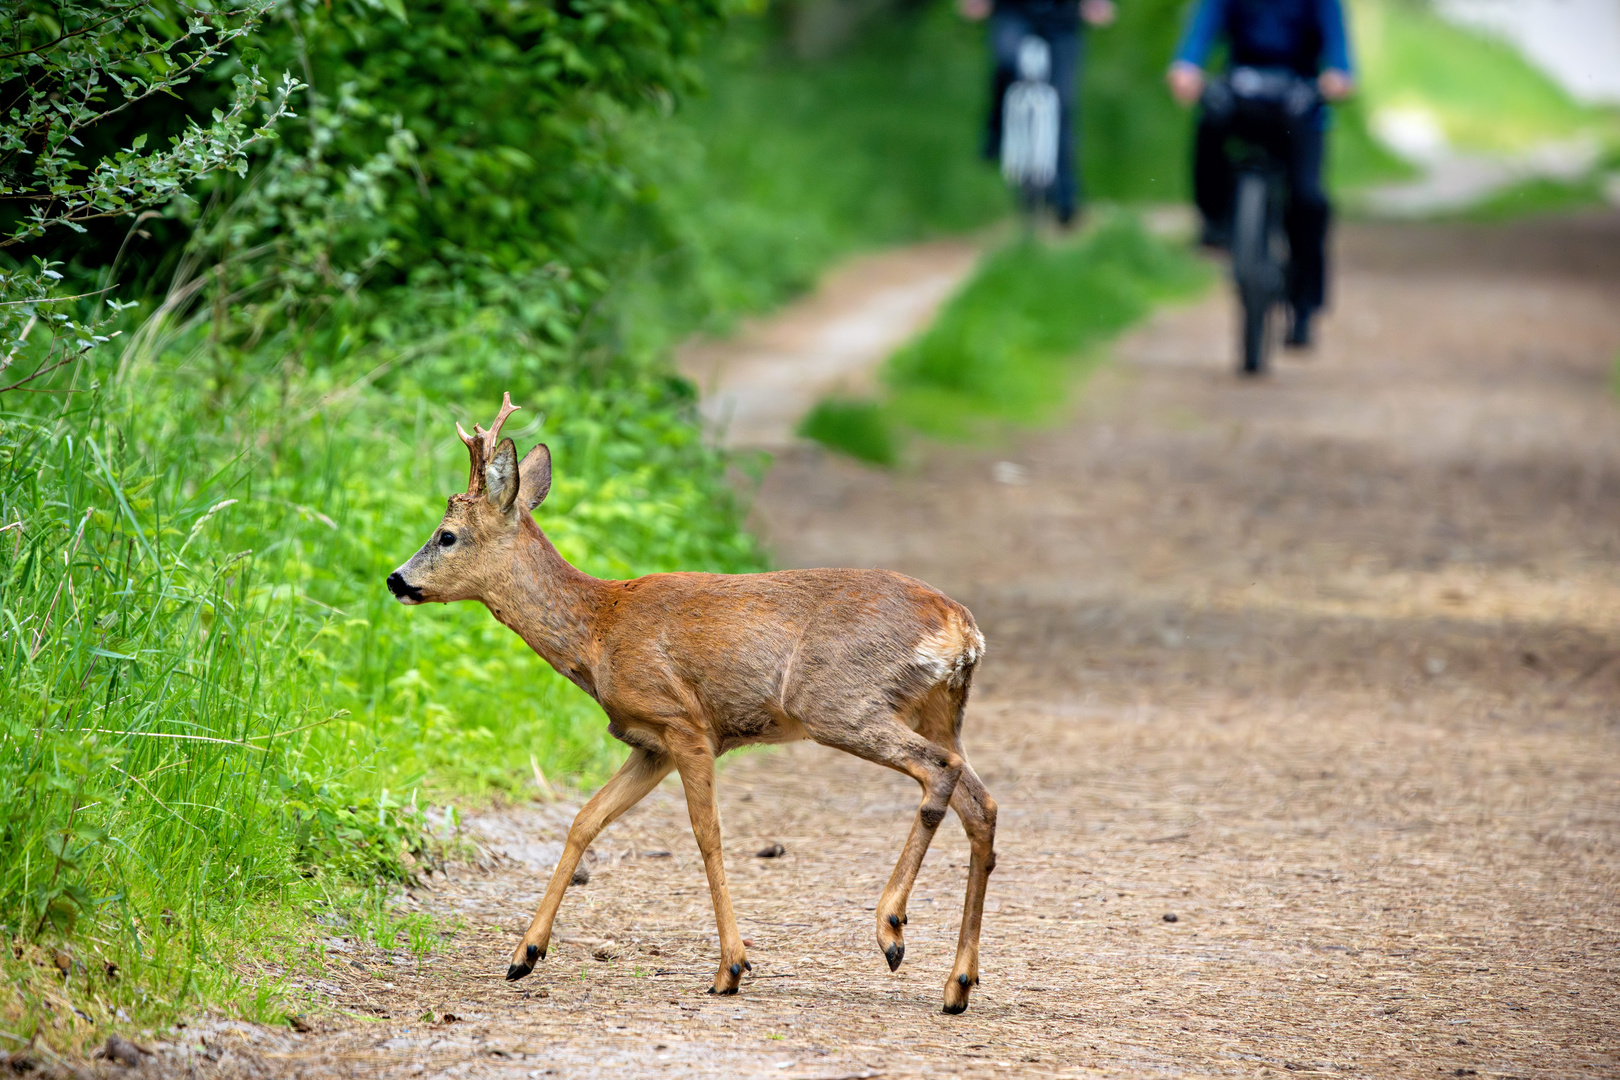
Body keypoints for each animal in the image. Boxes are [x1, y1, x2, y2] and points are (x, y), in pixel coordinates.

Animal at [388, 395, 997, 1016]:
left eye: (446, 535)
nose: (395, 580)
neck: (597, 630)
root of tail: (962, 629)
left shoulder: (684, 722)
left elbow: (707, 834)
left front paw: (730, 968)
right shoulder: (649, 741)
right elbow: (585, 820)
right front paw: (524, 955)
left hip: (840, 703)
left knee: (940, 772)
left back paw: (891, 927)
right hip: (938, 708)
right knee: (982, 804)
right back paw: (957, 984)